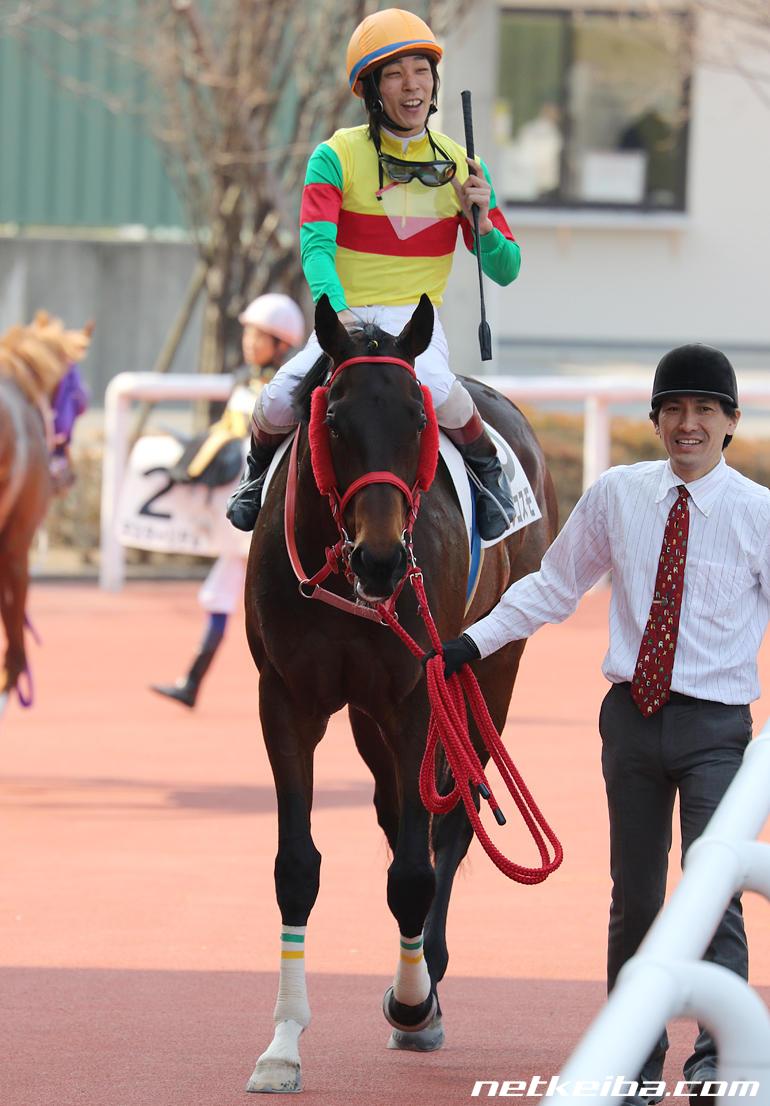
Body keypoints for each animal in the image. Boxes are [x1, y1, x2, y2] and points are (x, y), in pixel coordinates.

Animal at [243, 292, 558, 1093]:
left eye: (417, 422)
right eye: (332, 423)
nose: (383, 560)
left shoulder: (421, 694)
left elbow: (417, 866)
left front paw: (414, 1002)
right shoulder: (286, 700)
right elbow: (296, 867)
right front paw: (282, 1045)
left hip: (490, 669)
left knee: (451, 819)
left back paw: (429, 977)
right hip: (366, 714)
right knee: (395, 810)